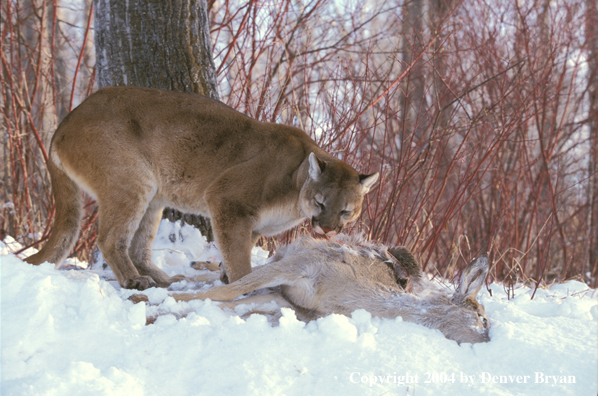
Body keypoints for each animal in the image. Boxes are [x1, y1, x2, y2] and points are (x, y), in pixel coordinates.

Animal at [27, 87, 380, 290]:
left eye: (346, 211)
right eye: (321, 204)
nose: (327, 229)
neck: (296, 184)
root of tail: (66, 120)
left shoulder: (249, 222)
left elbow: (236, 249)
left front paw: (224, 276)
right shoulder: (227, 199)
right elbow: (238, 256)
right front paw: (241, 282)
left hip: (153, 195)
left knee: (139, 245)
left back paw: (162, 278)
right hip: (132, 180)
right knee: (111, 238)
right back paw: (135, 280)